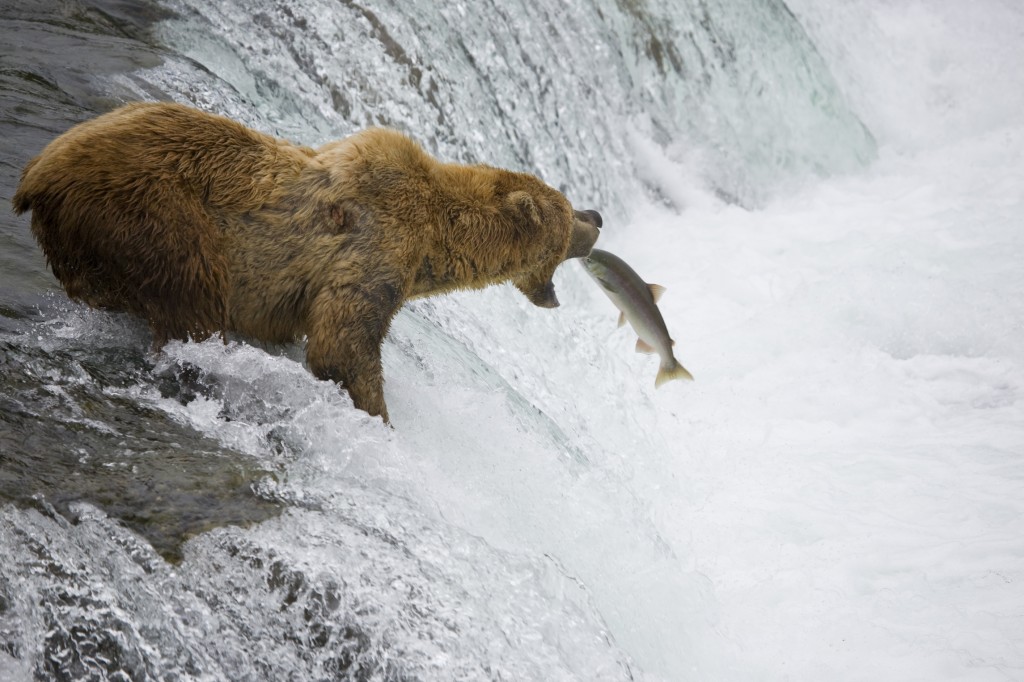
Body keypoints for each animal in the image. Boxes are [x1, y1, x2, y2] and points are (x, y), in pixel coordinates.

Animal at [14, 100, 598, 419]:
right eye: (567, 216)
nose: (595, 217)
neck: (434, 242)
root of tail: (38, 173)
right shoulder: (373, 248)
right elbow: (344, 345)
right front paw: (378, 416)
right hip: (152, 213)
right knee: (193, 302)